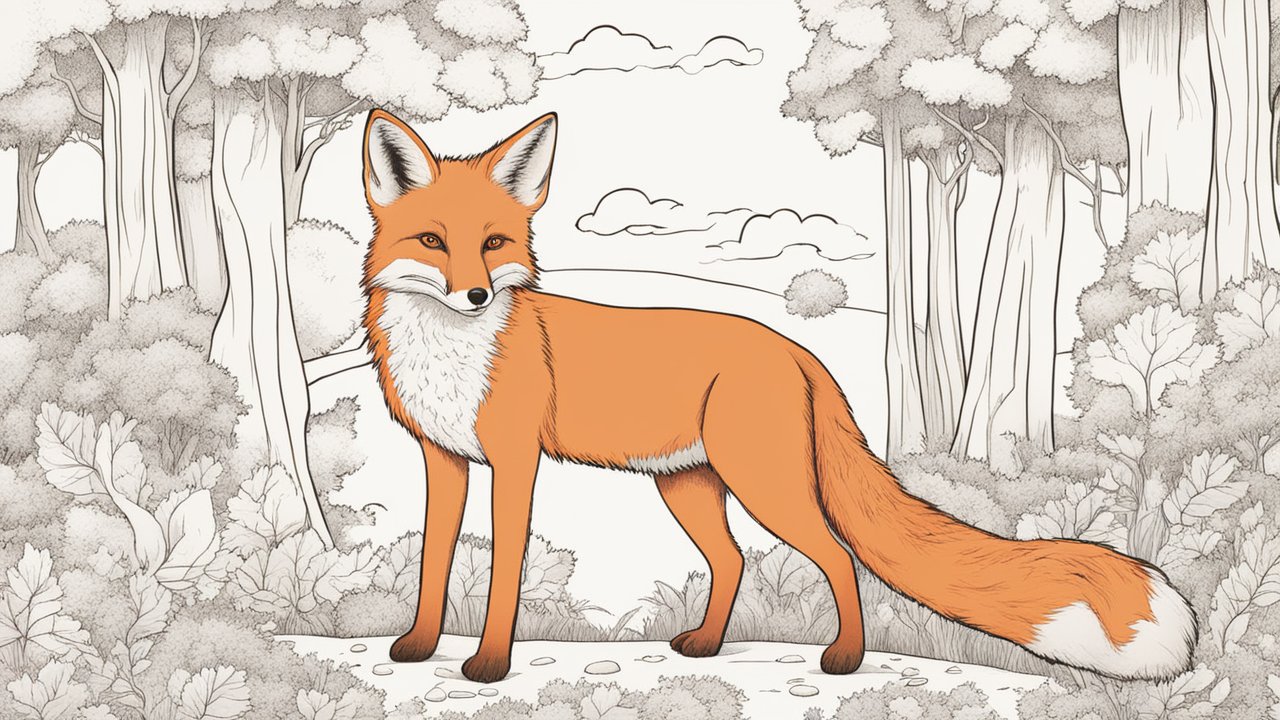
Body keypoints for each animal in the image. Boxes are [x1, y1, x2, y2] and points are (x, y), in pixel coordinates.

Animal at [358, 108, 1197, 684]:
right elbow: (435, 559)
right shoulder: (444, 460)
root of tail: (796, 349)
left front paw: (489, 664)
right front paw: (418, 647)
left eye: (493, 244)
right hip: (690, 486)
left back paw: (846, 658)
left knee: (836, 556)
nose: (473, 295)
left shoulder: (516, 462)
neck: (453, 352)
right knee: (732, 562)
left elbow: (503, 570)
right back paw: (706, 644)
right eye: (433, 242)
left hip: (765, 485)